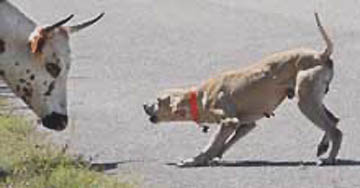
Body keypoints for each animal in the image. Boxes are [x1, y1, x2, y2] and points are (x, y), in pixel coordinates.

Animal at [142, 12, 338, 167]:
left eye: (158, 101)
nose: (144, 105)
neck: (200, 95)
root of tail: (320, 55)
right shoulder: (245, 125)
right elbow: (225, 142)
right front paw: (212, 157)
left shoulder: (229, 121)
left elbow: (212, 143)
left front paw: (195, 160)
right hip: (312, 98)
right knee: (334, 121)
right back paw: (324, 146)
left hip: (305, 102)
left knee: (335, 130)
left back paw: (330, 158)